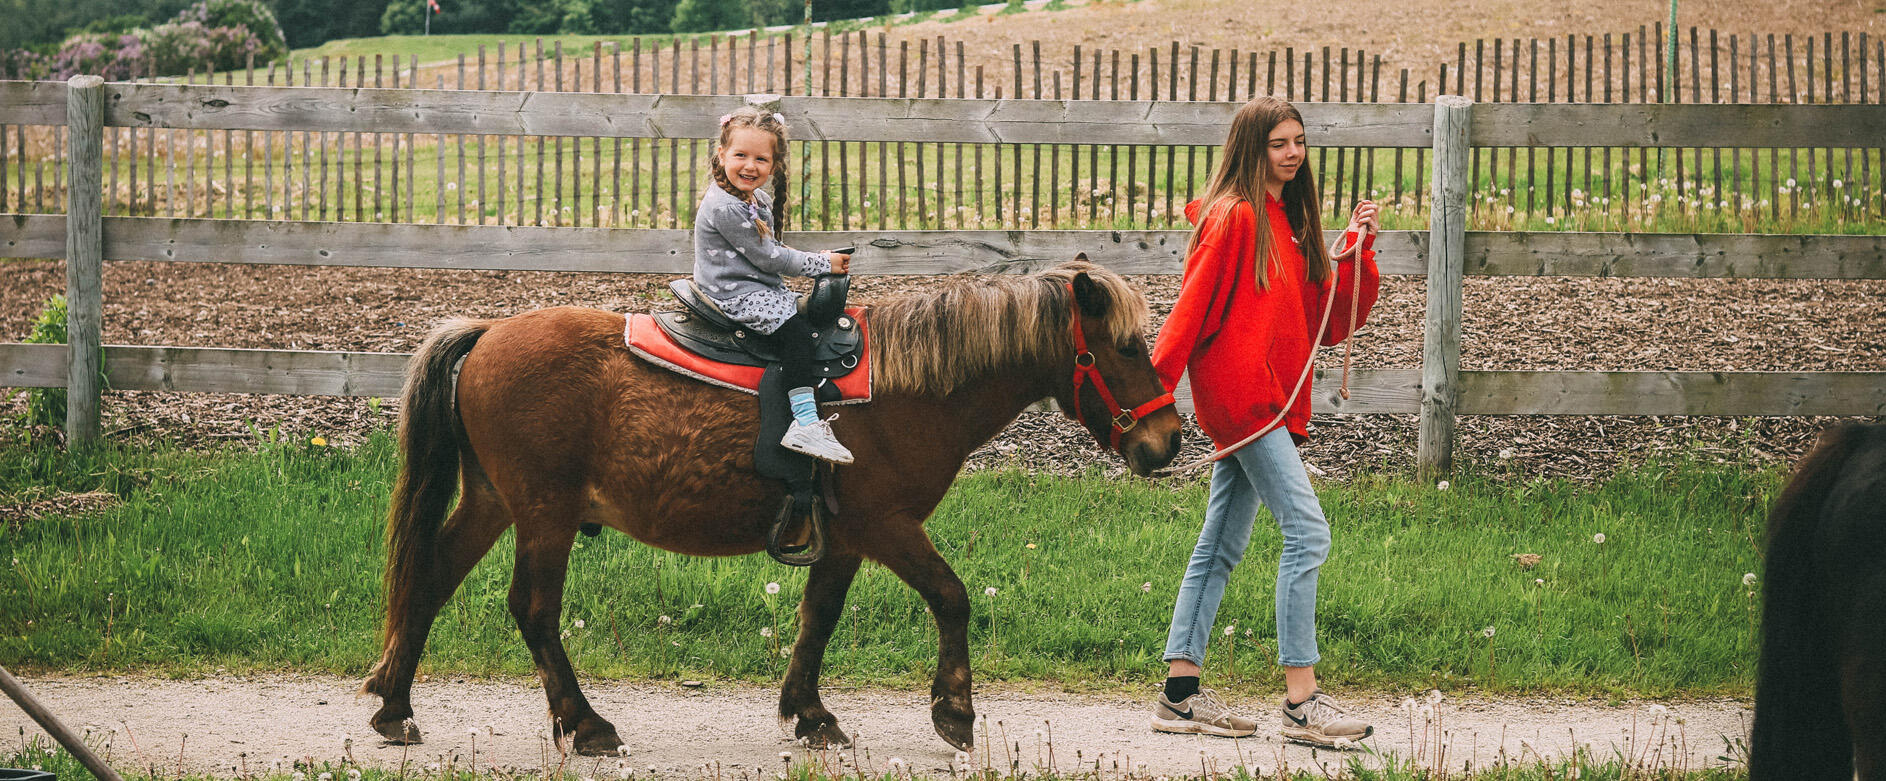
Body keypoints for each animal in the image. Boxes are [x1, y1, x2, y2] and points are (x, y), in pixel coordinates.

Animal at [360, 262, 1176, 758]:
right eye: (1128, 347)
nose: (1167, 440)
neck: (908, 387)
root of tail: (487, 334)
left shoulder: (845, 537)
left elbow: (818, 617)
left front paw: (810, 714)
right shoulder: (886, 525)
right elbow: (952, 596)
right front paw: (954, 708)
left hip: (494, 502)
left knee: (428, 580)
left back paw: (395, 706)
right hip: (543, 515)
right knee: (532, 608)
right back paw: (585, 723)